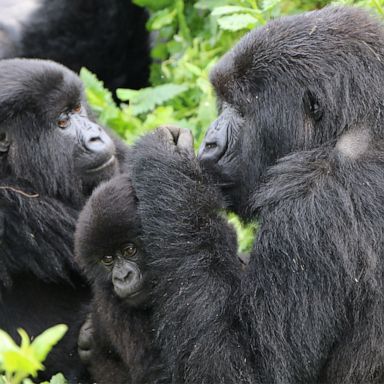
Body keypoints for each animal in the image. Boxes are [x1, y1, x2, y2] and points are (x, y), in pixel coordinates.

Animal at [130, 6, 384, 384]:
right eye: (222, 103)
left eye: (241, 109)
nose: (210, 142)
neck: (355, 123)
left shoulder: (310, 203)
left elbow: (246, 369)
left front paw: (164, 168)